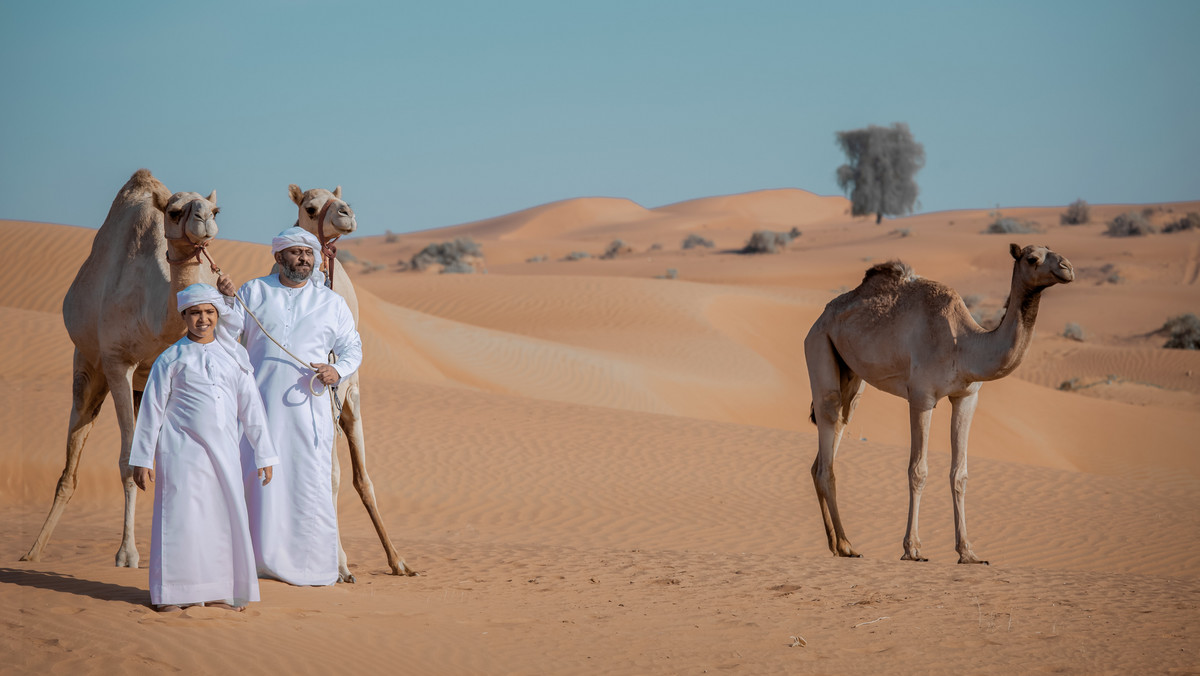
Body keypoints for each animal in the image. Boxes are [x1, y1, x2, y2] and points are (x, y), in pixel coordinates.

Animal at [22, 168, 220, 566]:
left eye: (216, 210)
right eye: (175, 211)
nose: (205, 219)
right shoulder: (117, 362)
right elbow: (129, 461)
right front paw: (127, 554)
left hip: (141, 386)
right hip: (87, 366)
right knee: (72, 456)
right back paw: (34, 552)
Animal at [284, 184, 412, 581]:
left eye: (343, 199)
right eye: (310, 208)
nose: (346, 213)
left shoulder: (350, 396)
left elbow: (361, 480)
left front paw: (398, 560)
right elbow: (331, 476)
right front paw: (338, 565)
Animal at [801, 243, 1075, 566]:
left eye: (1054, 251)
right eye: (1032, 258)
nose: (1067, 268)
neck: (964, 345)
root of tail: (820, 318)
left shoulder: (967, 397)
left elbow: (960, 473)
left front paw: (968, 552)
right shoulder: (921, 397)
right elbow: (918, 470)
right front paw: (913, 549)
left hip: (851, 374)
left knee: (836, 431)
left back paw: (836, 544)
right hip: (819, 344)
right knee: (828, 425)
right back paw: (846, 545)